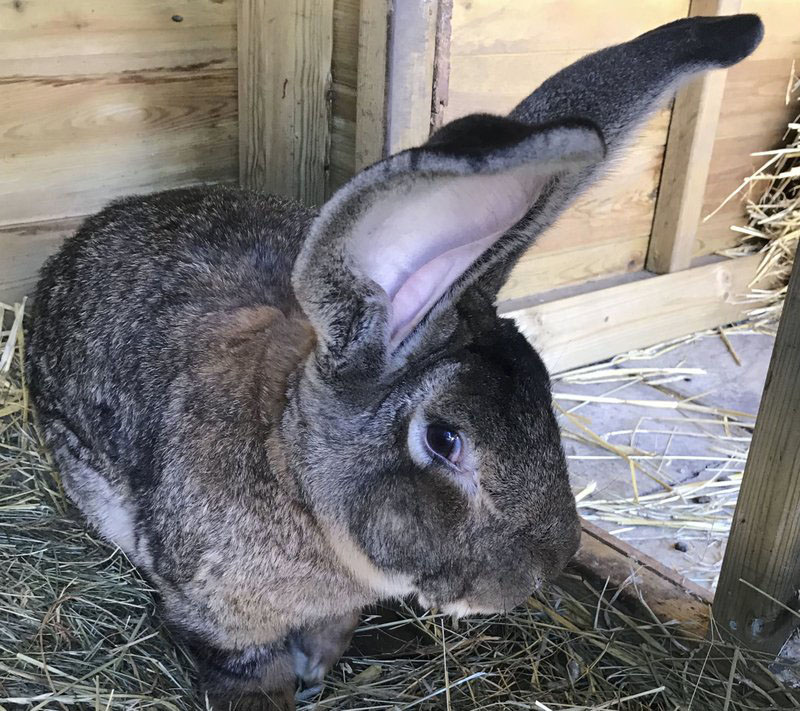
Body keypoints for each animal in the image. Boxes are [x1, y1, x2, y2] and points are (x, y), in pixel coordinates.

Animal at [25, 12, 764, 711]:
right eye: (444, 439)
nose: (542, 570)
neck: (291, 470)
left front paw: (317, 672)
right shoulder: (219, 619)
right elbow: (247, 671)